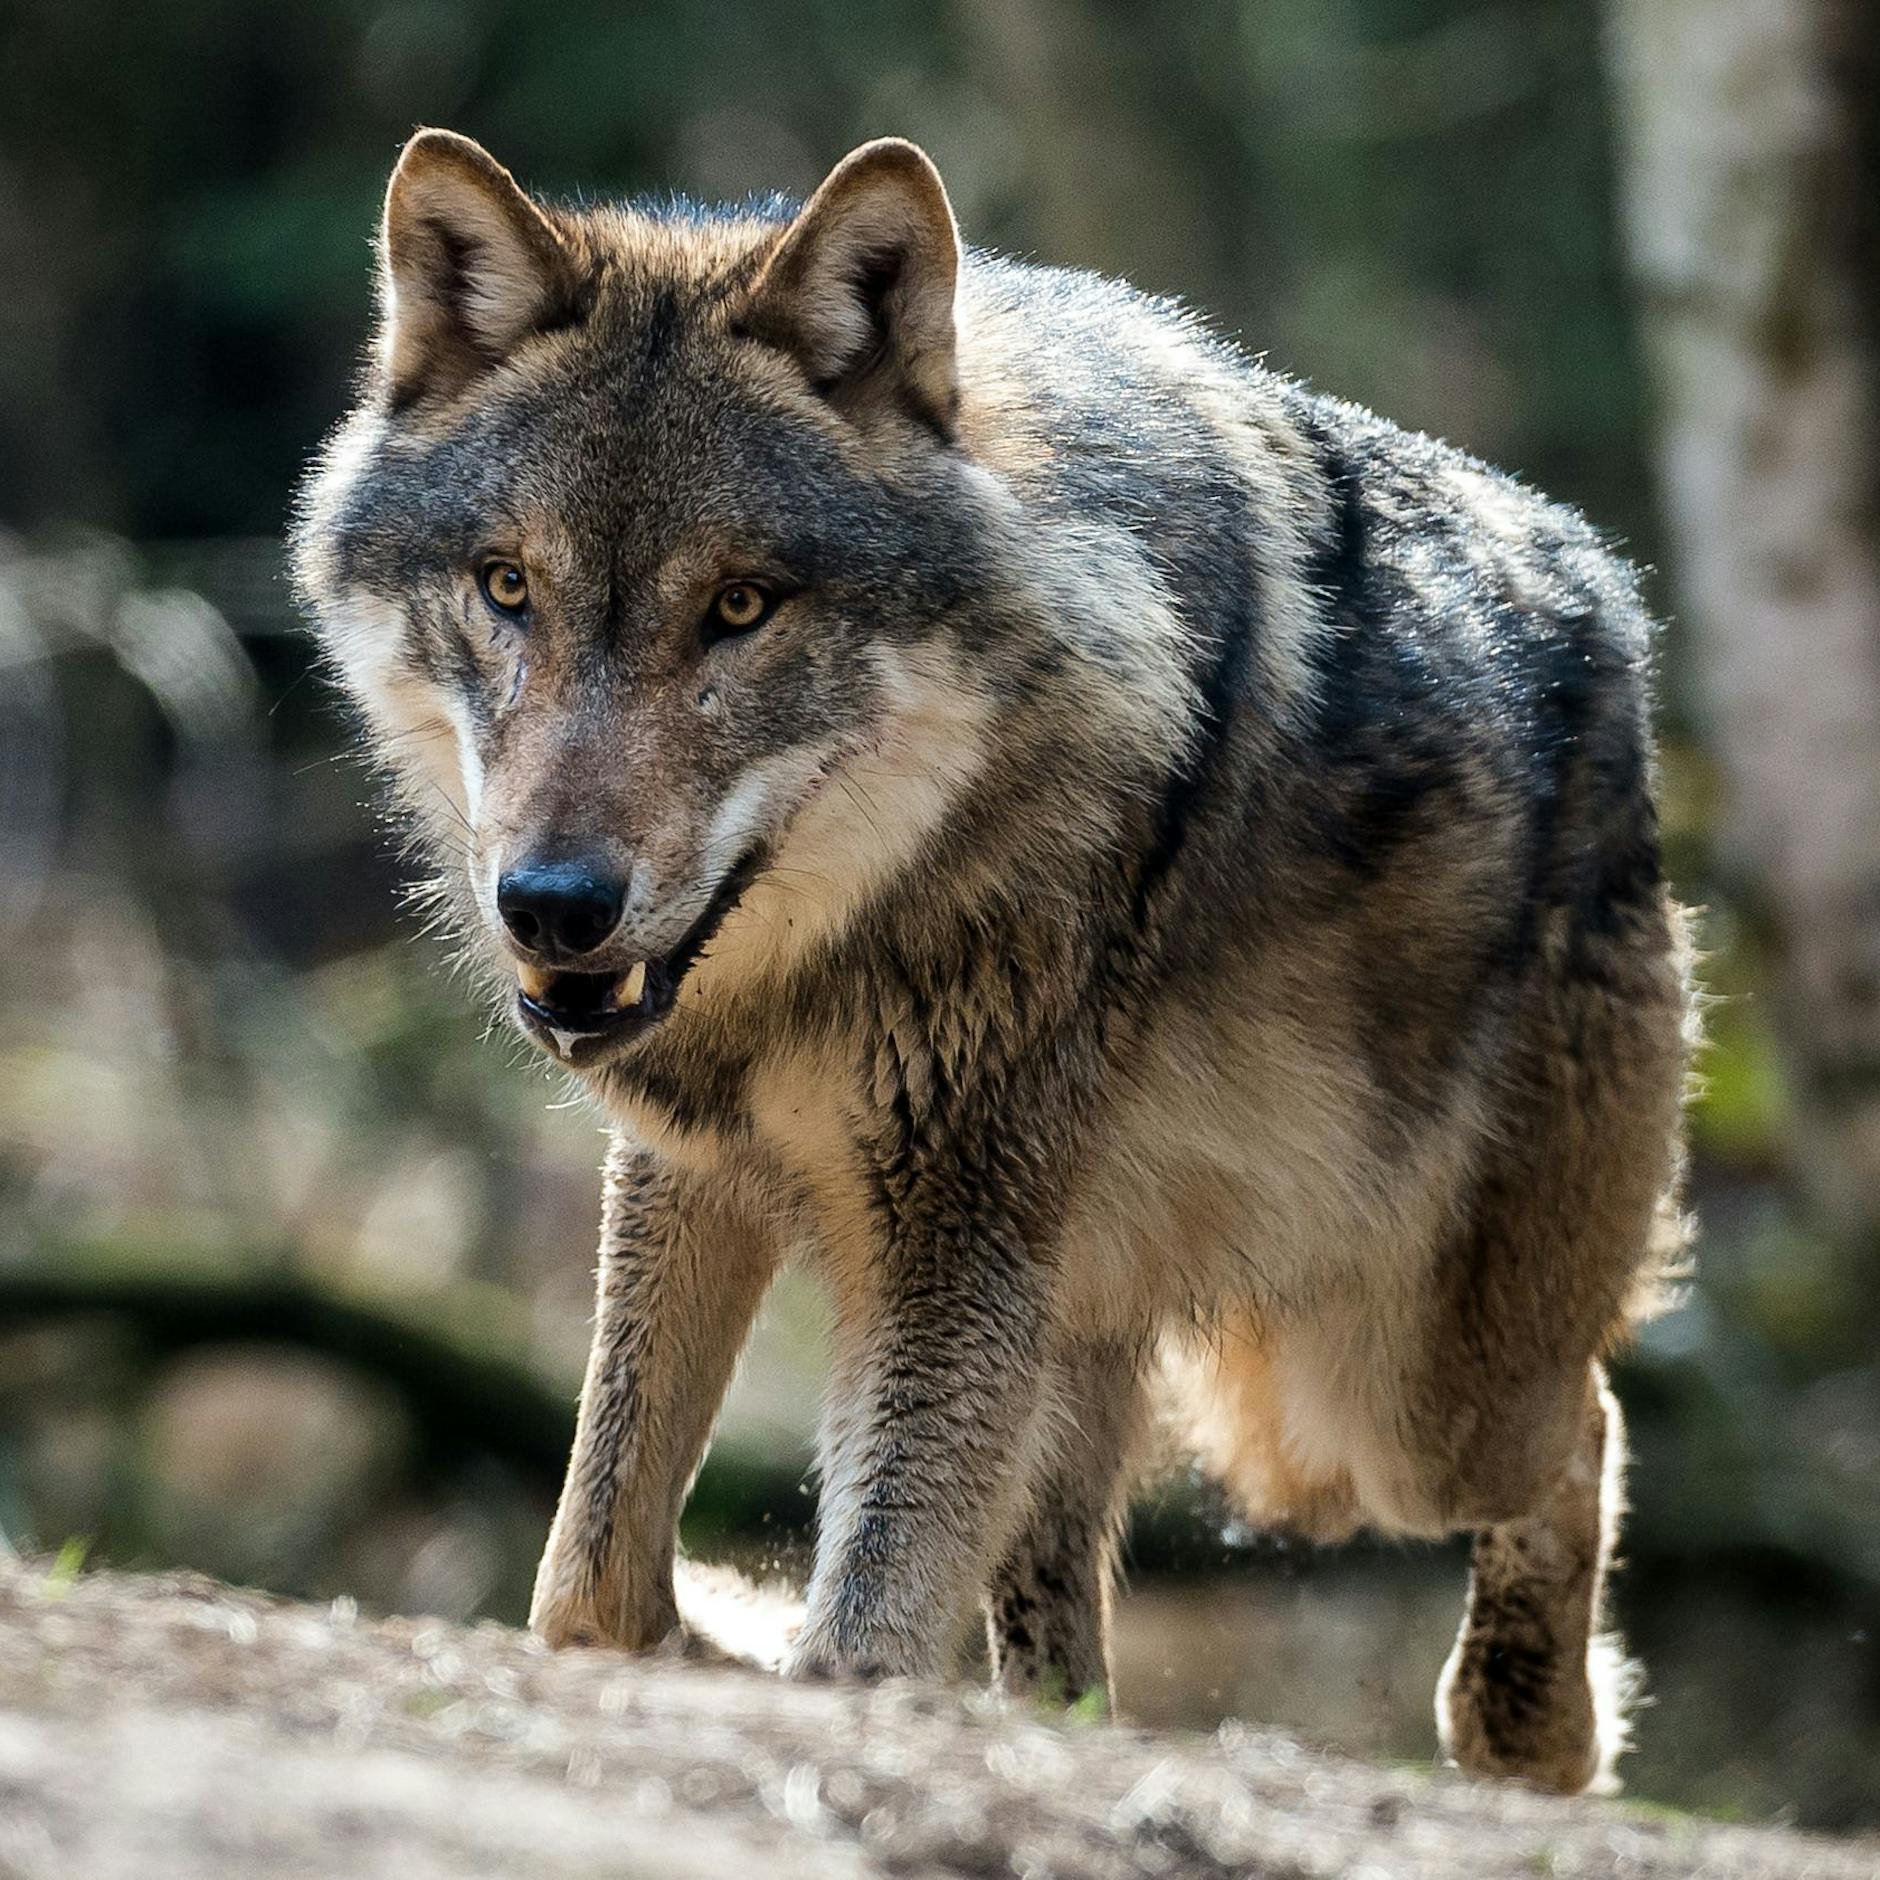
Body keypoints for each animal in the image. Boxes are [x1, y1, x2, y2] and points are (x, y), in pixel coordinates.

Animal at [292, 128, 1693, 1795]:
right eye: (509, 587)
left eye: (741, 606)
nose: (555, 904)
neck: (818, 963)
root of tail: (1612, 599)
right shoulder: (695, 1171)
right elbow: (591, 1588)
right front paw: (726, 1632)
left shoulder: (948, 1234)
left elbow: (862, 1630)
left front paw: (805, 1664)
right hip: (1094, 1325)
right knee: (1063, 1627)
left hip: (1381, 1401)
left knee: (1583, 1425)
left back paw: (1530, 1734)